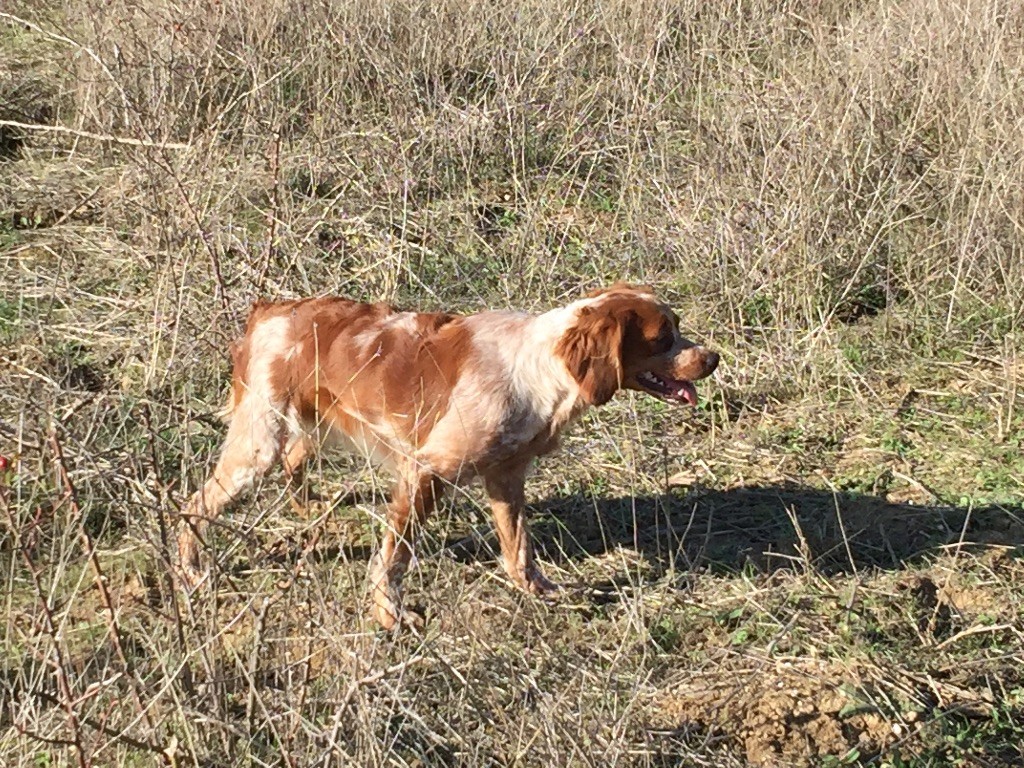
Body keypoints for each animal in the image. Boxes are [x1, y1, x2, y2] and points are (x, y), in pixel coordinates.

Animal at [178, 286, 720, 626]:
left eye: (679, 327)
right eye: (663, 338)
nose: (713, 358)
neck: (540, 371)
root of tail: (270, 310)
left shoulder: (506, 476)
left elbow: (519, 549)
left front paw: (539, 592)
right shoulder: (426, 470)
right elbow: (394, 558)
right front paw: (388, 615)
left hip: (307, 427)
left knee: (294, 461)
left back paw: (308, 508)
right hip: (257, 445)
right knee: (193, 506)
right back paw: (193, 569)